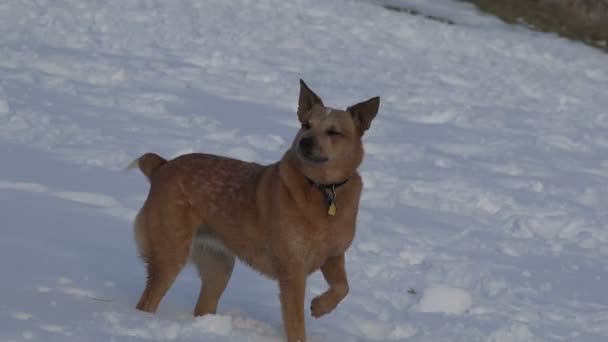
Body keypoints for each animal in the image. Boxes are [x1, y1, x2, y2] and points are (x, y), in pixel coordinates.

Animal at [129, 80, 380, 342]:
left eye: (333, 132)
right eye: (306, 125)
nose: (305, 141)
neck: (322, 189)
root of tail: (162, 166)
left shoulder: (334, 255)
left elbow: (343, 287)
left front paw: (320, 307)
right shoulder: (292, 271)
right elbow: (296, 324)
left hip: (218, 265)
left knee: (203, 306)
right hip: (170, 251)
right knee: (147, 301)